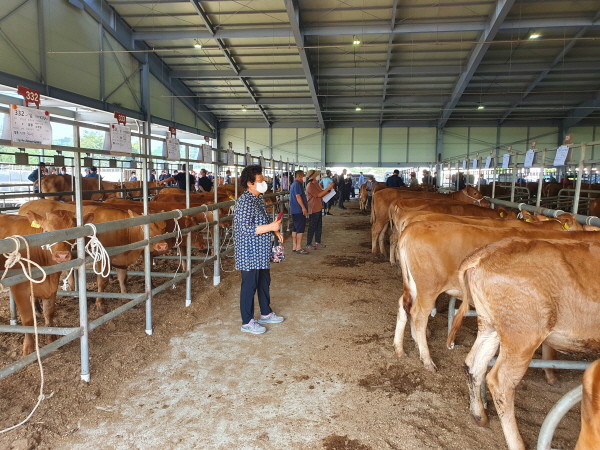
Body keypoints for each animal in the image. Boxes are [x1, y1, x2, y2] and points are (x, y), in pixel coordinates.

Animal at [0, 210, 84, 354]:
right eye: (47, 232)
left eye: (72, 231)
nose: (62, 256)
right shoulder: (19, 289)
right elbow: (27, 320)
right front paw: (28, 348)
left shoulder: (52, 287)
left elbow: (49, 313)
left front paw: (51, 339)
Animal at [394, 222, 595, 374]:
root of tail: (412, 227)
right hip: (428, 288)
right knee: (418, 316)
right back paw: (427, 360)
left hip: (413, 285)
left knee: (404, 306)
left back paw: (400, 348)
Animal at [447, 238, 600, 450]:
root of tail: (485, 253)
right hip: (522, 337)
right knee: (500, 381)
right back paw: (517, 443)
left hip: (489, 325)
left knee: (474, 364)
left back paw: (479, 416)